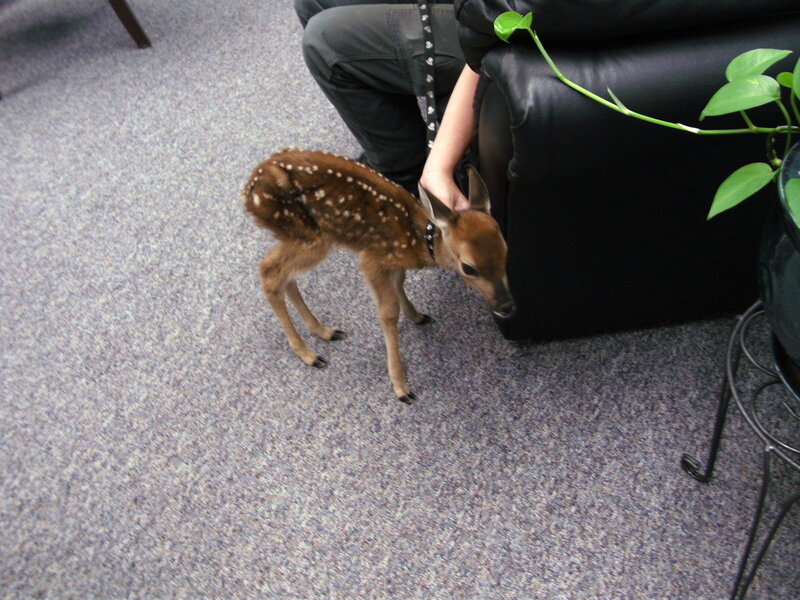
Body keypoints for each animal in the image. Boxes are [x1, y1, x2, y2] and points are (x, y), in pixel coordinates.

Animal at [242, 149, 515, 404]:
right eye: (469, 268)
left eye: (506, 252)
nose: (507, 306)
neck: (417, 240)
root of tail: (248, 193)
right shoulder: (372, 259)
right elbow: (388, 312)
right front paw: (401, 388)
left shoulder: (391, 261)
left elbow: (399, 282)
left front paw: (416, 315)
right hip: (309, 237)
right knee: (269, 272)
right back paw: (309, 355)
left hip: (302, 236)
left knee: (284, 275)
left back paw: (324, 331)